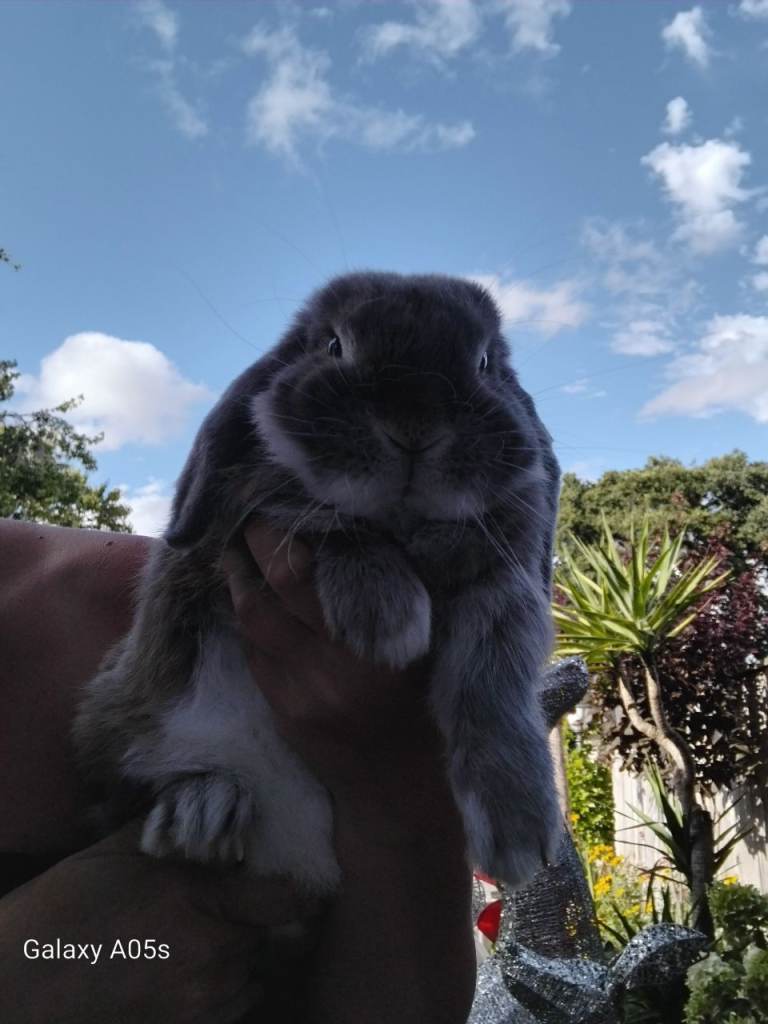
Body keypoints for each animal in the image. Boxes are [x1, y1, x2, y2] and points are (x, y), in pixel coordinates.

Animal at [73, 270, 562, 895]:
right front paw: (387, 618)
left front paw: (518, 832)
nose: (414, 426)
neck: (404, 527)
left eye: (484, 362)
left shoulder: (505, 588)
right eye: (333, 345)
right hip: (122, 715)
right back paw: (200, 814)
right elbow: (321, 516)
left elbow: (492, 681)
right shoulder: (258, 511)